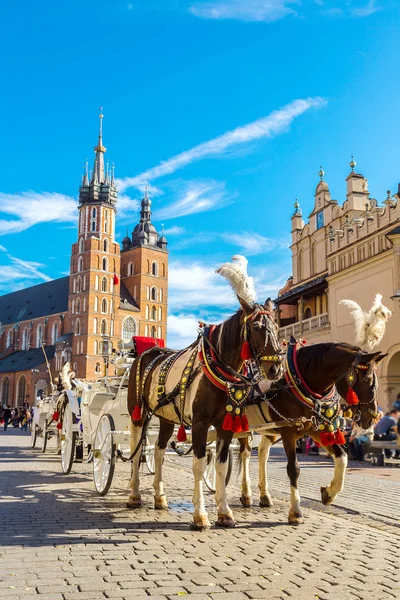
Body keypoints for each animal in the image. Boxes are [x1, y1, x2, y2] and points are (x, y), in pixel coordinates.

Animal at [126, 298, 282, 528]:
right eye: (255, 327)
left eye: (277, 328)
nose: (275, 369)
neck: (219, 370)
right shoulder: (200, 423)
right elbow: (199, 465)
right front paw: (200, 515)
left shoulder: (226, 425)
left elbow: (220, 464)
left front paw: (224, 512)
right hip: (137, 413)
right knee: (136, 451)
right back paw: (135, 495)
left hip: (166, 417)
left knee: (159, 451)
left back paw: (160, 497)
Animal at [238, 342, 384, 524]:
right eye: (367, 380)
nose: (372, 418)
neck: (300, 383)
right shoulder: (288, 433)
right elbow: (293, 469)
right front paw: (295, 511)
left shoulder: (317, 430)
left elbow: (342, 458)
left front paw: (329, 493)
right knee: (245, 454)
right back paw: (246, 494)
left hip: (269, 429)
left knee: (262, 453)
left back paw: (265, 495)